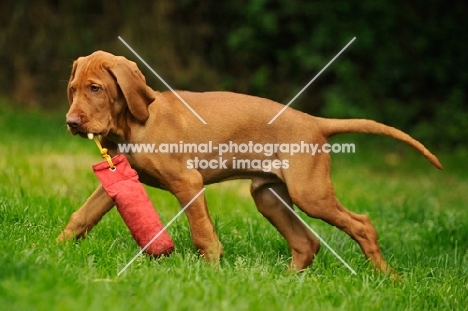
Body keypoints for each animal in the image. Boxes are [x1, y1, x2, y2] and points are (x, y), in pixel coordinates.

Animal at [56, 50, 440, 272]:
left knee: (362, 225)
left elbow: (202, 233)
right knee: (306, 242)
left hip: (309, 195)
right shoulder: (118, 179)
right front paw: (53, 251)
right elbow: (81, 217)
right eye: (72, 90)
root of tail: (315, 122)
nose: (71, 123)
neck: (134, 124)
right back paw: (288, 283)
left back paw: (386, 278)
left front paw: (211, 272)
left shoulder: (188, 183)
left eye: (95, 88)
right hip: (269, 195)